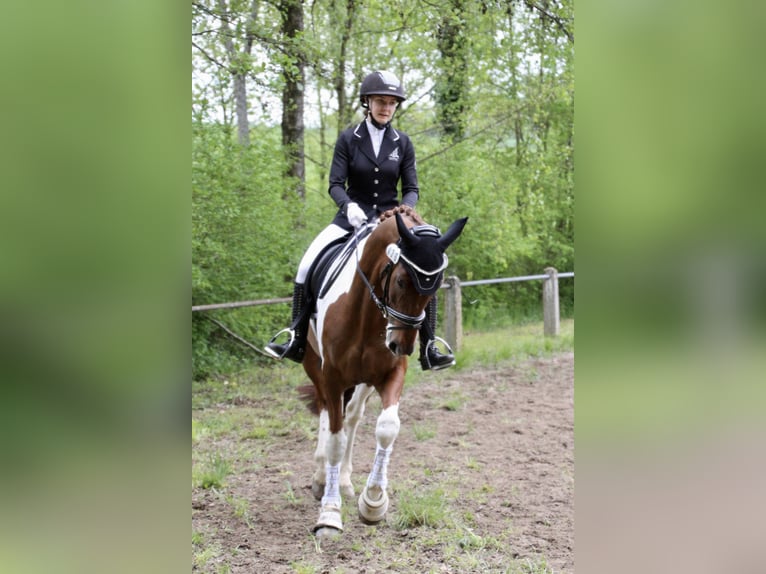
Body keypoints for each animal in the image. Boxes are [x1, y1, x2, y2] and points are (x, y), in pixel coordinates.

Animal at [298, 206, 468, 538]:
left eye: (436, 286)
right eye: (401, 280)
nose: (401, 345)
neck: (365, 313)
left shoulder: (390, 374)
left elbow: (387, 428)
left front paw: (373, 502)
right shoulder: (332, 377)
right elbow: (335, 439)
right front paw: (329, 514)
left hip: (363, 380)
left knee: (352, 416)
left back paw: (344, 481)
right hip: (315, 366)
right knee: (326, 410)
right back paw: (322, 477)